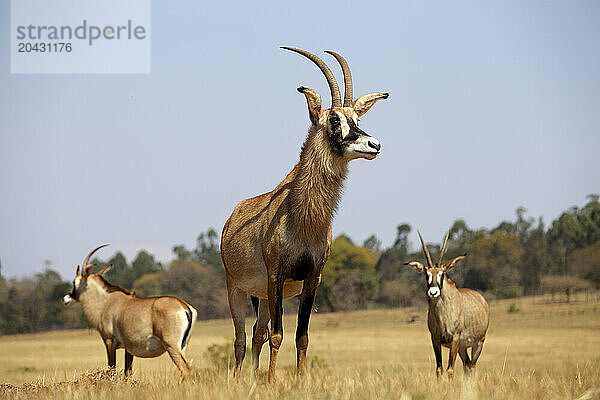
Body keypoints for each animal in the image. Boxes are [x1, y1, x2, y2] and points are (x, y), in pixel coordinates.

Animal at [63, 244, 199, 378]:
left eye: (74, 282)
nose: (66, 298)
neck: (106, 302)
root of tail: (184, 306)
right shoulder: (128, 349)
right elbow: (127, 372)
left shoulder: (109, 341)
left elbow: (112, 368)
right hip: (183, 346)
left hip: (172, 346)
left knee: (185, 368)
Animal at [220, 47, 390, 382]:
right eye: (334, 119)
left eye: (357, 118)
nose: (374, 144)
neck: (301, 217)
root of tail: (232, 217)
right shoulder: (277, 275)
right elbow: (277, 335)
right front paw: (273, 380)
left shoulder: (312, 278)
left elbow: (301, 336)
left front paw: (298, 381)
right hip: (239, 290)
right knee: (241, 338)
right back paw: (239, 379)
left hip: (262, 297)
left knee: (256, 334)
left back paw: (254, 379)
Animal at [406, 231, 490, 378]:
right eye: (426, 274)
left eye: (442, 274)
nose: (433, 292)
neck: (442, 316)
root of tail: (482, 300)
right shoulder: (435, 339)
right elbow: (439, 369)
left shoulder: (454, 339)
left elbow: (450, 369)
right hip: (462, 348)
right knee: (467, 365)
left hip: (478, 343)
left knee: (472, 366)